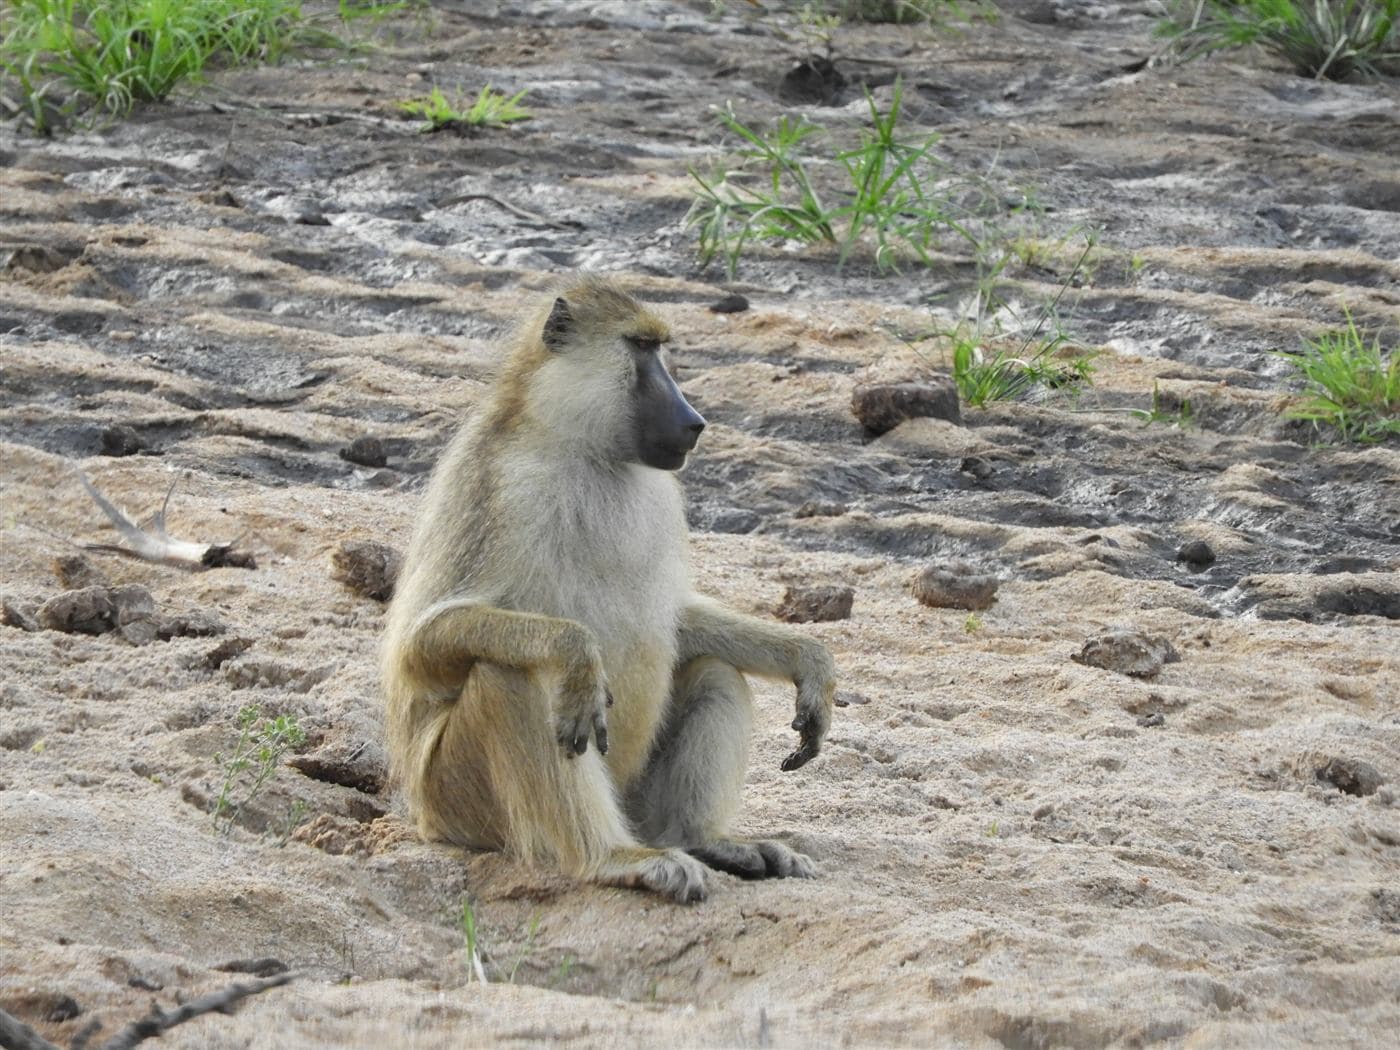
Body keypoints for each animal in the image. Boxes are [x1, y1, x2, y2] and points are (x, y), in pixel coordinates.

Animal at [380, 276, 837, 903]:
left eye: (660, 348)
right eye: (641, 348)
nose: (694, 421)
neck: (584, 450)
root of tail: (422, 817)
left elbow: (677, 620)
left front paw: (806, 659)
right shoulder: (495, 486)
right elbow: (420, 647)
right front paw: (576, 654)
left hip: (635, 799)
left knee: (715, 671)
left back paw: (701, 840)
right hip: (458, 805)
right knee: (513, 677)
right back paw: (613, 857)